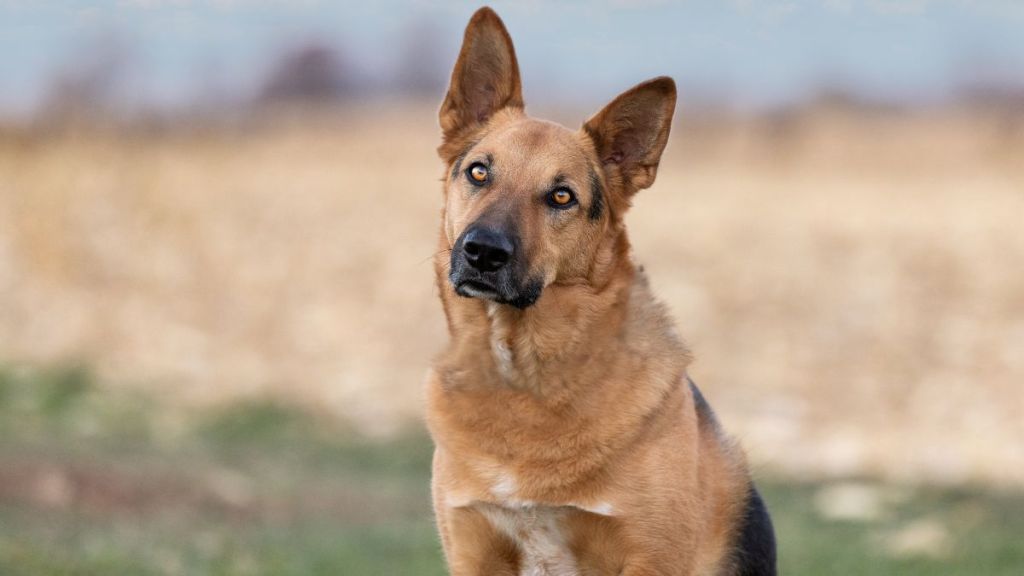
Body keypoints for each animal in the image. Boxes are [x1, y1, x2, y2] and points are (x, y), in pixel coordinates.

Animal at [423, 5, 774, 573]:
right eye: (478, 172)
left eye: (562, 196)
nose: (483, 253)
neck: (524, 374)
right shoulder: (474, 551)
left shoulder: (650, 557)